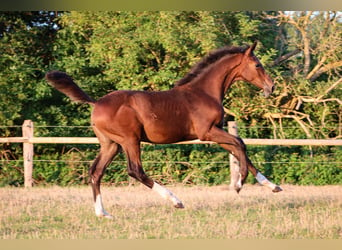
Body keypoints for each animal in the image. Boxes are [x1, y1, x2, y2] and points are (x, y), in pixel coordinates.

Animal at [44, 42, 280, 218]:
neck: (203, 92)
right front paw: (239, 184)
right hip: (130, 140)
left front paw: (273, 186)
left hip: (111, 144)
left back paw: (103, 213)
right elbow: (240, 145)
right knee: (135, 170)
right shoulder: (207, 132)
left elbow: (240, 150)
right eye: (257, 65)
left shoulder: (216, 133)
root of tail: (96, 103)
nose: (271, 87)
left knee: (96, 171)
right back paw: (176, 201)